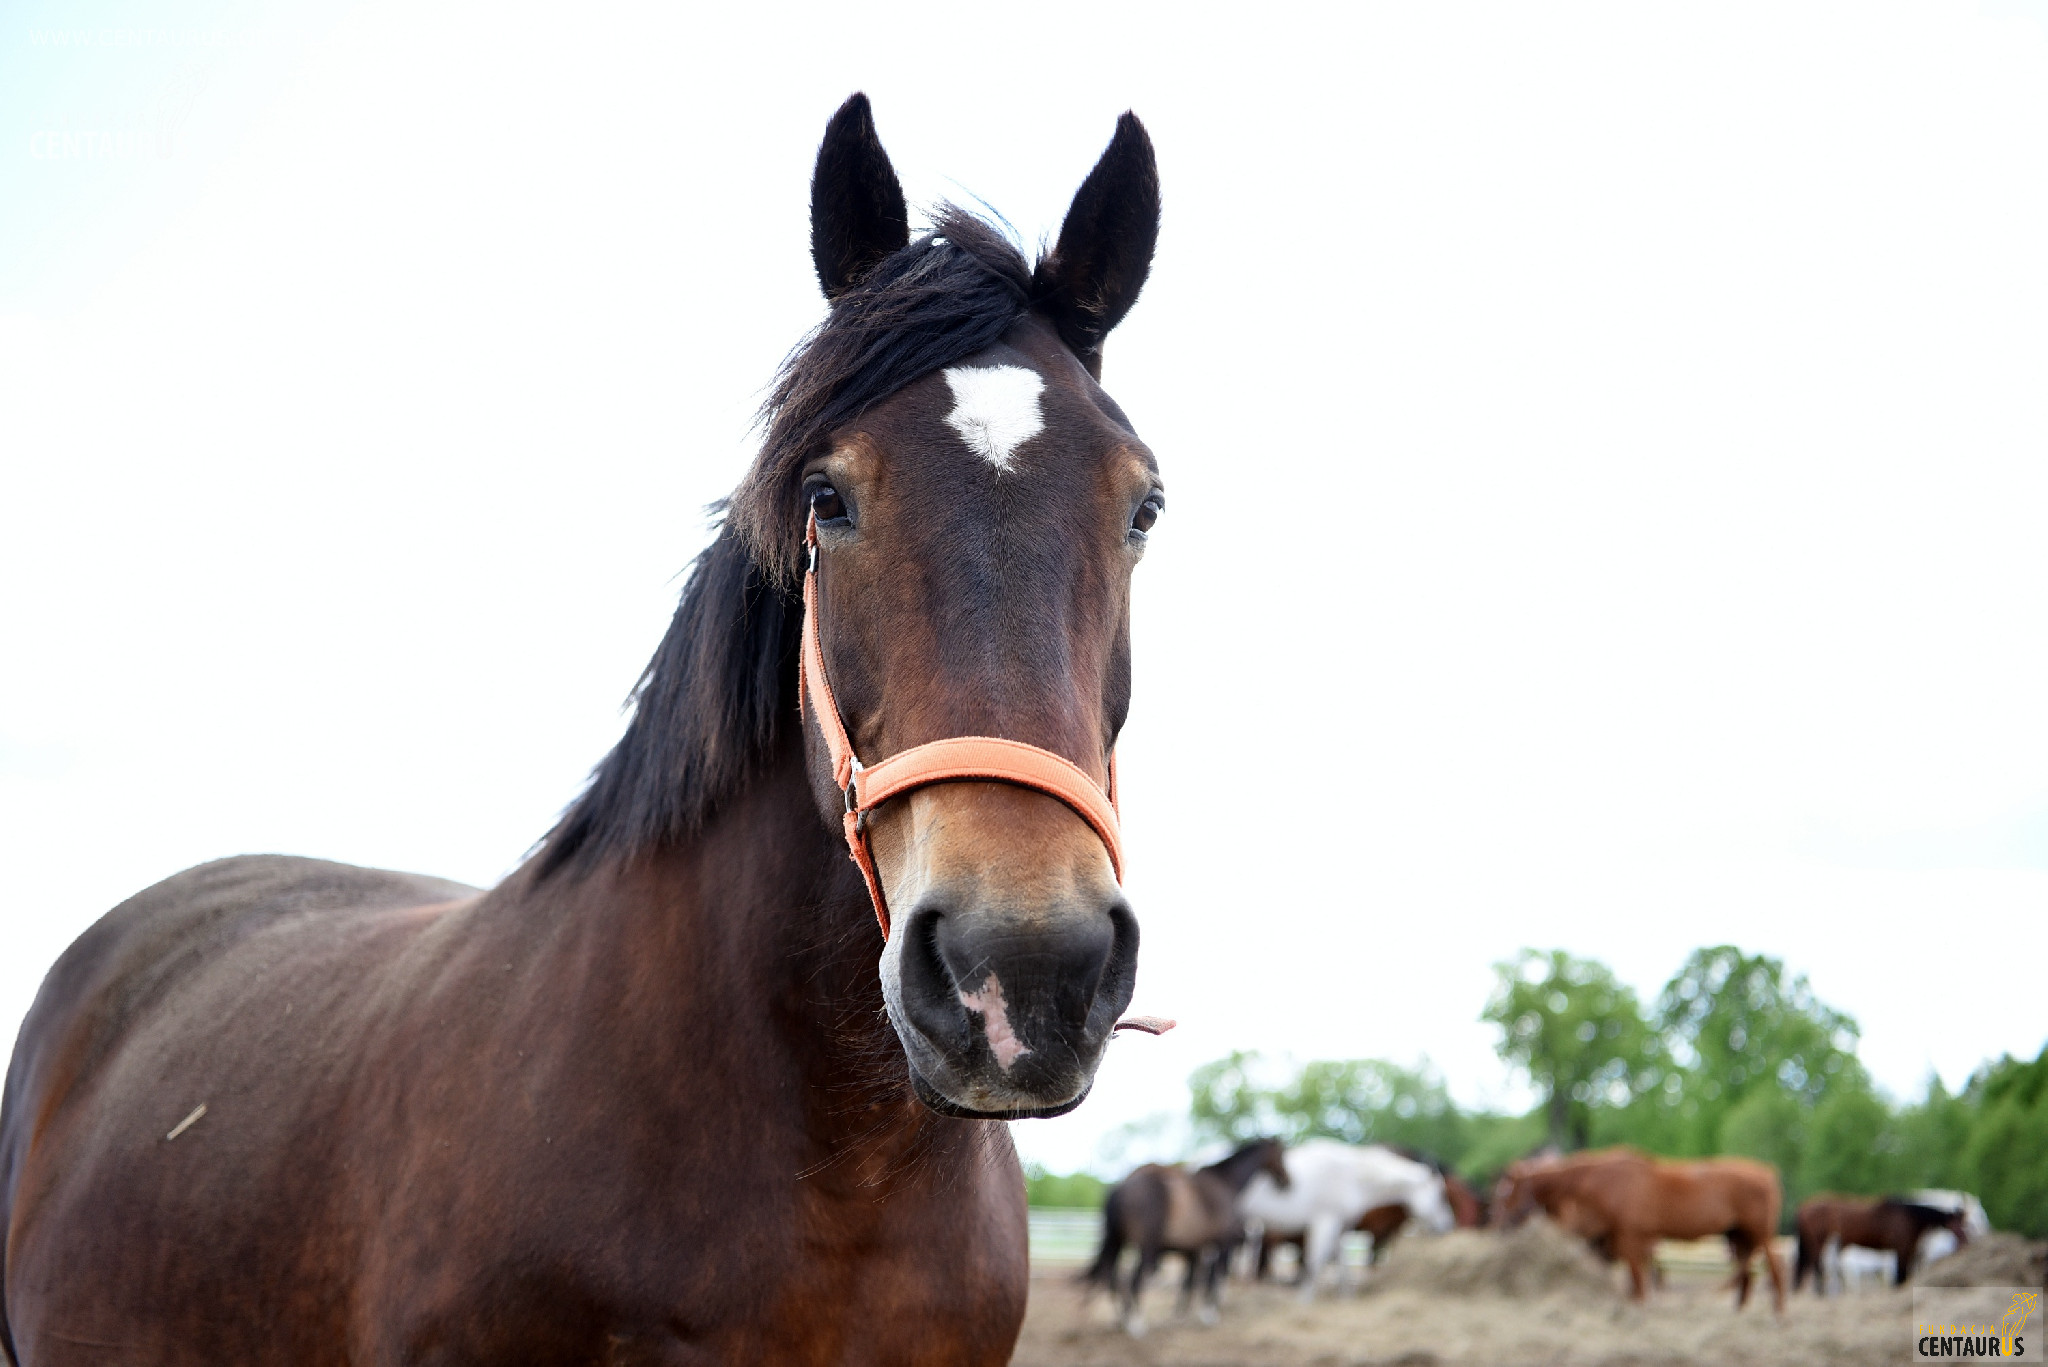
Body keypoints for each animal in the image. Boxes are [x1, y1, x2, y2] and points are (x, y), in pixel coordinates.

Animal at [1081, 1131, 1286, 1336]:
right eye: (1281, 1153)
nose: (1286, 1181)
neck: (1225, 1183)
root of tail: (1121, 1187)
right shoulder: (1222, 1243)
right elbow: (1213, 1278)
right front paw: (1209, 1313)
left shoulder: (1195, 1249)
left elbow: (1190, 1281)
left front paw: (1182, 1314)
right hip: (1147, 1248)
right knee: (1132, 1281)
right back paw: (1135, 1324)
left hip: (1118, 1242)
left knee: (1111, 1277)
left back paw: (1121, 1319)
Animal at [1236, 1139, 1449, 1303]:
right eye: (1441, 1195)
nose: (1447, 1225)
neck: (1352, 1176)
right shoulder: (1325, 1222)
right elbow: (1315, 1262)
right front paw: (1304, 1301)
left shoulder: (1341, 1227)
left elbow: (1342, 1264)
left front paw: (1346, 1298)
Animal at [1499, 1147, 1785, 1311]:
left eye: (1506, 1192)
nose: (1501, 1222)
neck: (1607, 1181)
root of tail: (1767, 1173)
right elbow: (1638, 1281)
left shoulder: (1631, 1239)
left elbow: (1637, 1282)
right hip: (1740, 1237)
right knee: (1746, 1275)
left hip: (1759, 1234)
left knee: (1774, 1267)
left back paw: (1778, 1313)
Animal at [1794, 1196, 1966, 1295]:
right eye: (1957, 1225)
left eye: (1963, 1223)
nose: (1965, 1240)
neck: (1908, 1218)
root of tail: (1803, 1208)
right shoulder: (1902, 1250)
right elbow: (1900, 1277)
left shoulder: (1908, 1252)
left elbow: (1905, 1276)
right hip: (1818, 1244)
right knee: (1818, 1267)